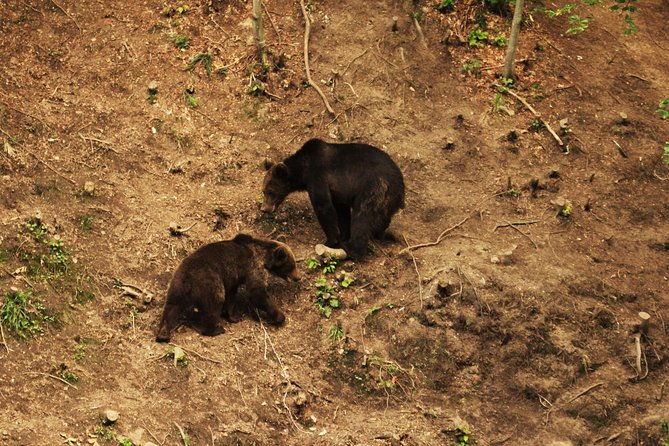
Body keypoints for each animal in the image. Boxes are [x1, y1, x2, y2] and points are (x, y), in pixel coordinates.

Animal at [154, 233, 300, 342]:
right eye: (292, 265)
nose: (298, 277)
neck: (264, 257)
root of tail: (188, 278)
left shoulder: (233, 278)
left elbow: (232, 296)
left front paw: (233, 317)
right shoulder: (253, 267)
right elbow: (257, 293)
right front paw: (280, 316)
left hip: (177, 284)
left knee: (171, 307)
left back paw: (163, 334)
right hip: (210, 282)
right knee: (214, 303)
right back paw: (215, 329)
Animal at [262, 139, 404, 258]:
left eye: (270, 192)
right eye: (263, 191)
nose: (264, 208)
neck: (303, 170)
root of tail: (400, 185)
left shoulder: (318, 175)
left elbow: (323, 206)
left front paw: (331, 241)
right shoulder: (338, 192)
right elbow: (342, 211)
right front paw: (343, 235)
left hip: (373, 188)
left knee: (363, 217)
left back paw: (352, 249)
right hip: (387, 200)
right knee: (381, 219)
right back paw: (381, 234)